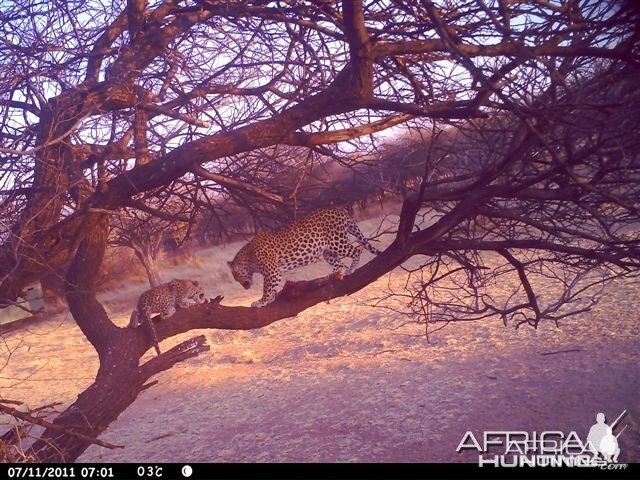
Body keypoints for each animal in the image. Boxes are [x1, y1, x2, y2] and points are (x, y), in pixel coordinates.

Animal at [229, 207, 380, 308]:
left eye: (236, 276)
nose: (244, 287)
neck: (249, 257)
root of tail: (339, 209)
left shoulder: (271, 272)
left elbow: (266, 288)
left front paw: (260, 301)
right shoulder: (277, 272)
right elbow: (273, 287)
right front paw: (270, 299)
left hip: (337, 241)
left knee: (356, 251)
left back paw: (350, 269)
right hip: (327, 251)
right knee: (338, 264)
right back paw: (329, 276)